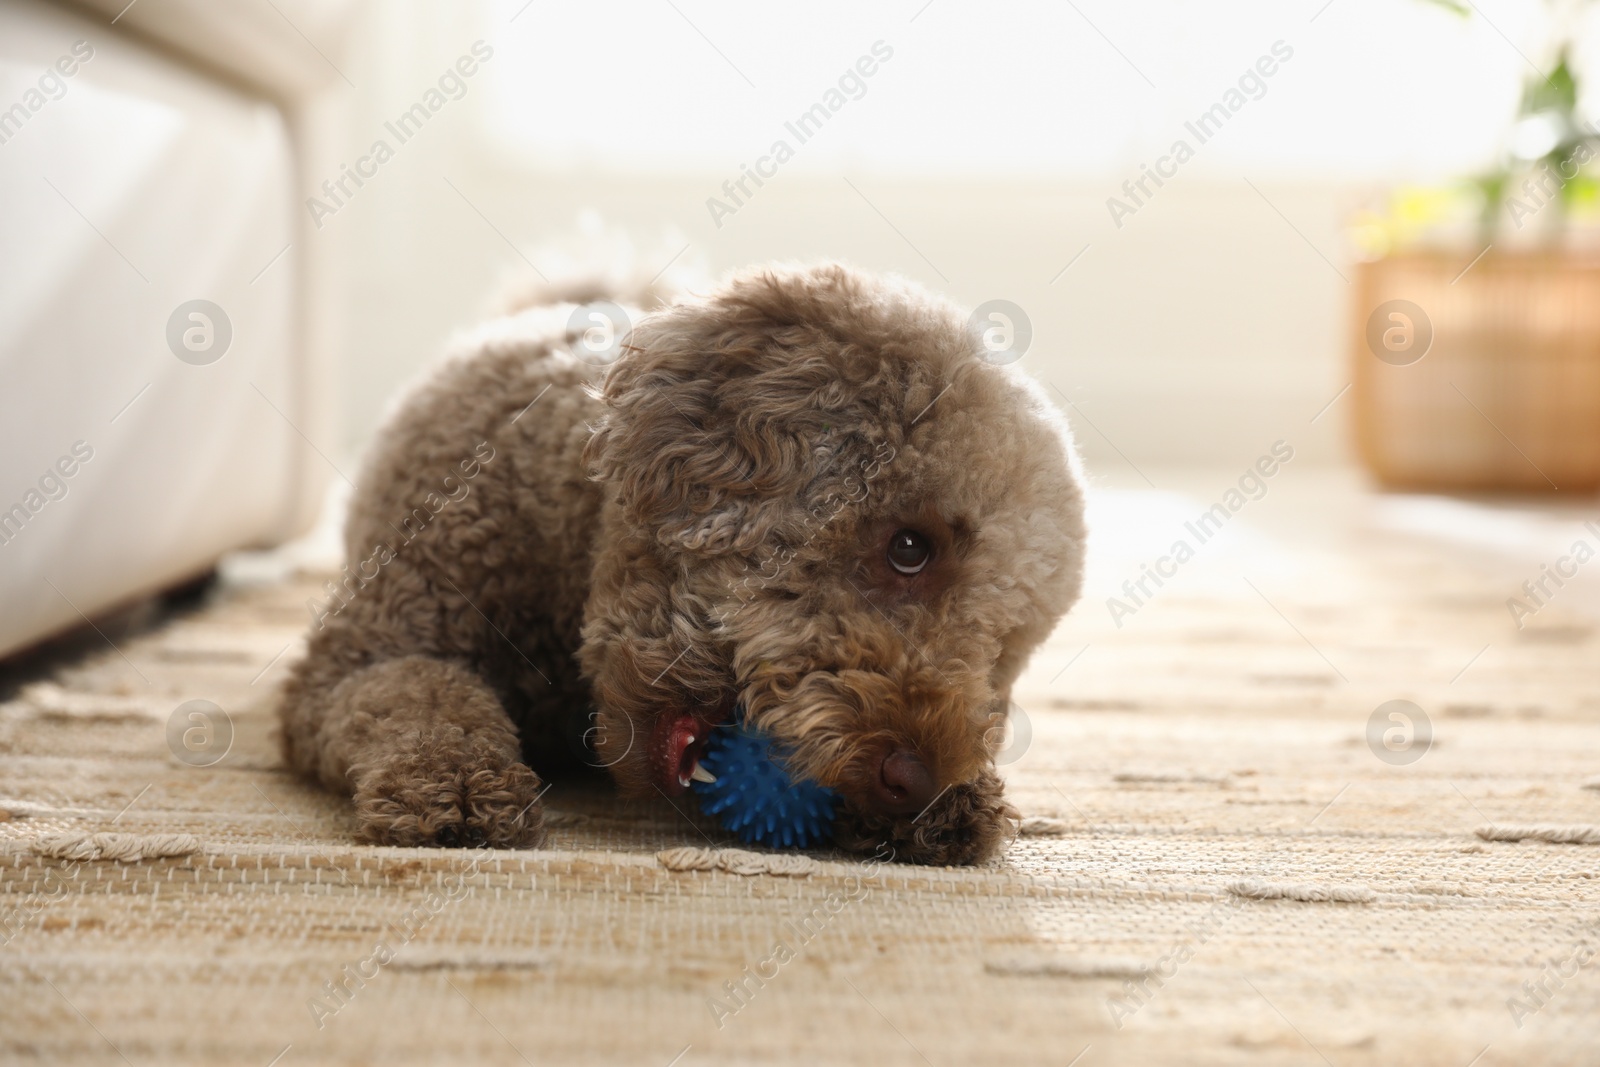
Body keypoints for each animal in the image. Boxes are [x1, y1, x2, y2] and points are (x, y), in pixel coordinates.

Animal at [284, 265, 1088, 870]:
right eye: (910, 548)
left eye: (1003, 655)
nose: (914, 781)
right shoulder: (353, 661)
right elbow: (419, 694)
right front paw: (453, 785)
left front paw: (957, 808)